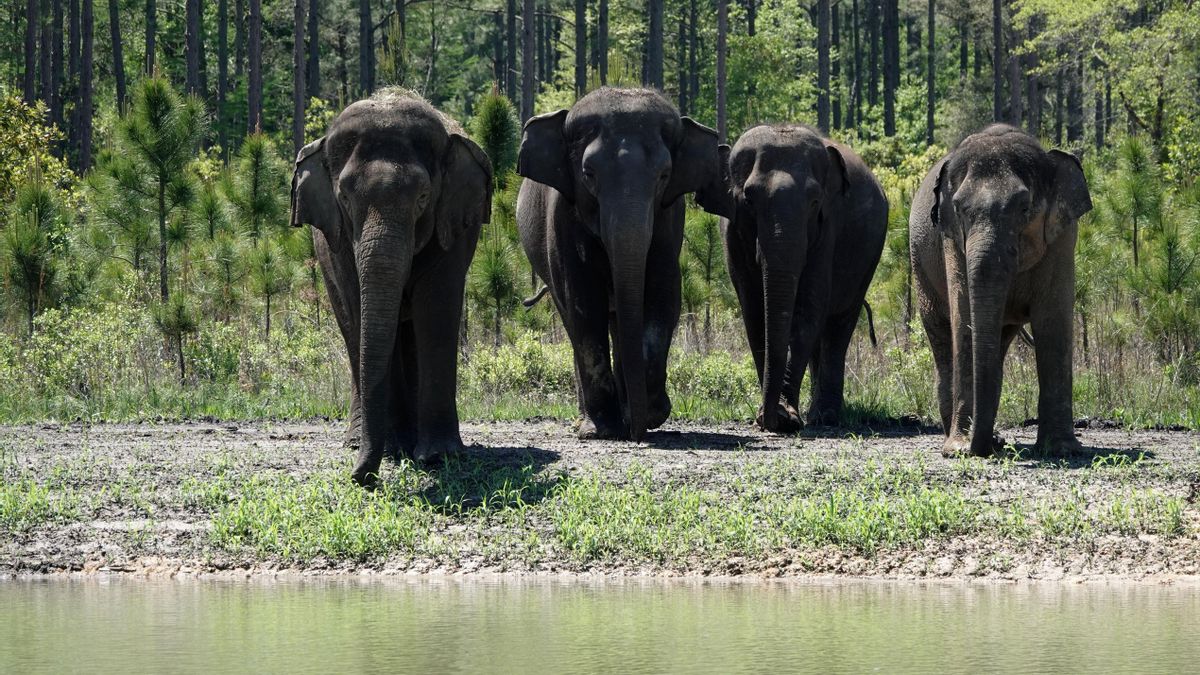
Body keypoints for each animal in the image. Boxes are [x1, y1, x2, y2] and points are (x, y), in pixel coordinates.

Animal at [291, 90, 493, 485]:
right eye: (345, 198)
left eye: (423, 197)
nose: (361, 478)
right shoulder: (338, 242)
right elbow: (361, 310)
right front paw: (394, 451)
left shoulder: (452, 227)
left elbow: (436, 311)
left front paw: (439, 456)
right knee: (352, 330)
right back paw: (363, 441)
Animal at [516, 87, 722, 441]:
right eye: (589, 174)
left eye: (664, 176)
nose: (637, 433)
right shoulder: (563, 217)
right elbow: (584, 304)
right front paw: (604, 428)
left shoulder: (670, 219)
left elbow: (663, 298)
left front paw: (651, 414)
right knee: (573, 320)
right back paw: (587, 421)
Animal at [695, 124, 887, 432]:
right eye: (749, 199)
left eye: (814, 201)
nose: (769, 420)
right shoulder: (731, 235)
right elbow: (754, 312)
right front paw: (770, 415)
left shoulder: (828, 228)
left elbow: (808, 308)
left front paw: (785, 418)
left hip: (868, 258)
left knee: (839, 326)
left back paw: (825, 417)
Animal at [909, 124, 1092, 457]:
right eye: (958, 209)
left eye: (1024, 207)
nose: (982, 449)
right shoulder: (950, 238)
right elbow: (964, 318)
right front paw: (958, 450)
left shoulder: (1063, 238)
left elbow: (1053, 322)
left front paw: (1062, 449)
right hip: (920, 268)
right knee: (941, 336)